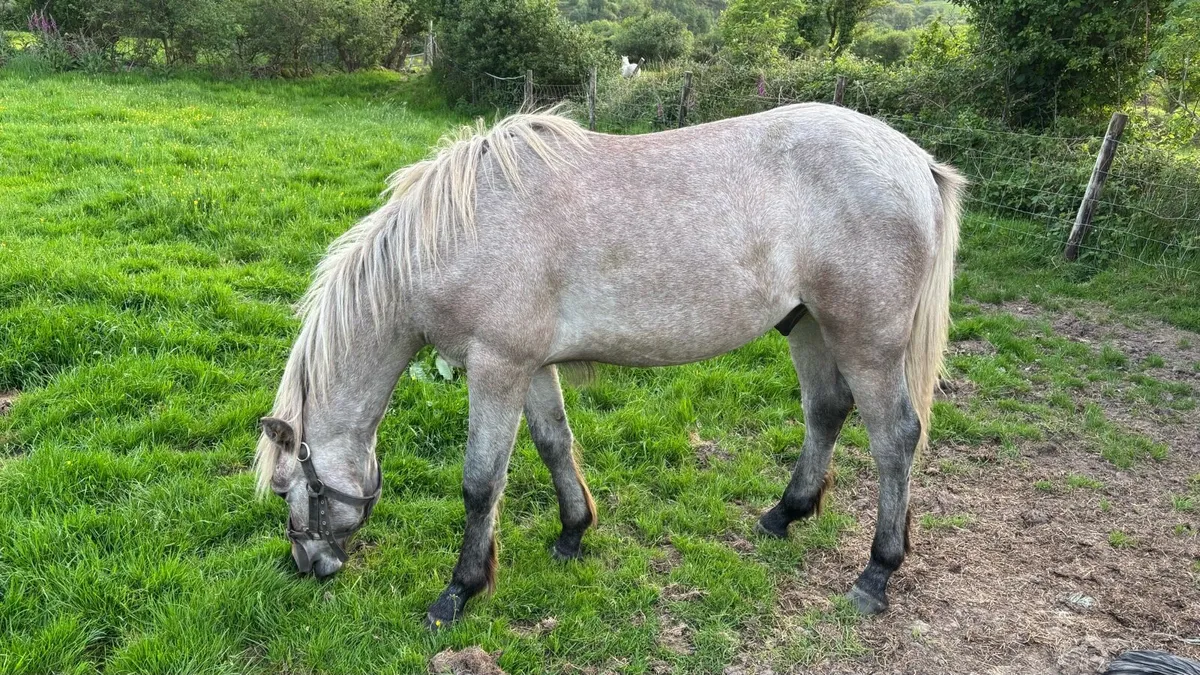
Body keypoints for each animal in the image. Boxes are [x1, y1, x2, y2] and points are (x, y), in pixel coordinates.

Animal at [254, 103, 965, 628]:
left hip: (866, 342)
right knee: (825, 411)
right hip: (809, 327)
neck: (455, 233)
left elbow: (481, 483)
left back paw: (877, 571)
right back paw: (784, 514)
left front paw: (460, 590)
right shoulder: (530, 367)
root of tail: (916, 162)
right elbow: (553, 443)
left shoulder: (496, 368)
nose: (308, 567)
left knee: (895, 438)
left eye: (289, 489)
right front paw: (573, 531)